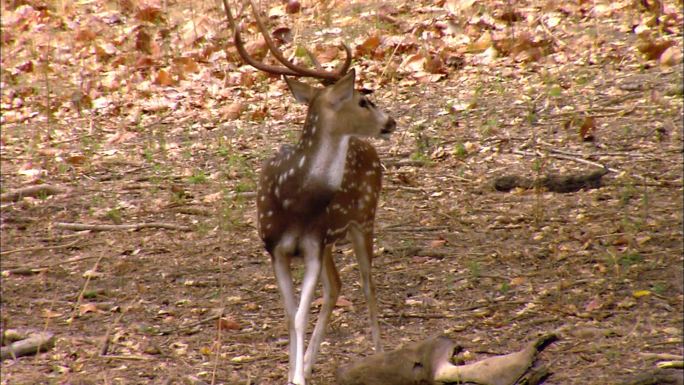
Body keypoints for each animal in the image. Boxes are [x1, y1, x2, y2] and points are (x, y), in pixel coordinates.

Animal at [223, 1, 396, 382]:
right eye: (363, 101)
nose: (391, 121)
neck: (294, 198)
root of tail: (369, 149)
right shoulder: (275, 247)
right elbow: (290, 315)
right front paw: (294, 371)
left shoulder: (313, 244)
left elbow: (301, 313)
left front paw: (297, 375)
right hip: (334, 238)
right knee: (337, 286)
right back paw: (311, 359)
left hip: (365, 218)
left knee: (368, 284)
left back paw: (380, 355)